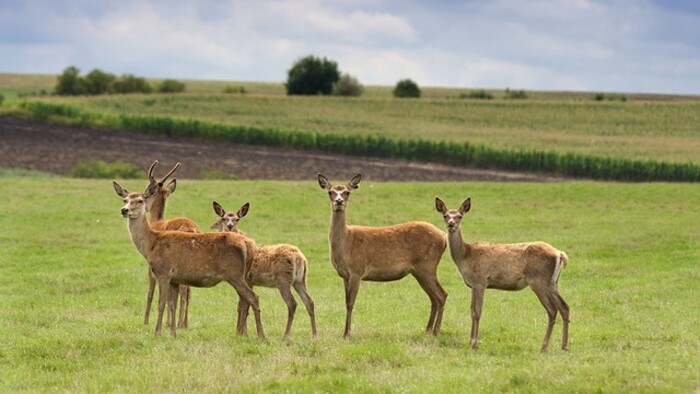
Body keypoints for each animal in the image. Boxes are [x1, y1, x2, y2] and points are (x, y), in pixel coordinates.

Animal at [112, 182, 266, 338]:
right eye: (125, 200)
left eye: (140, 200)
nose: (124, 210)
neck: (151, 244)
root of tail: (249, 243)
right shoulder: (174, 279)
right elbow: (172, 304)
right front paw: (173, 334)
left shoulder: (163, 272)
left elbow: (161, 303)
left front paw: (157, 333)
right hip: (243, 276)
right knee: (244, 301)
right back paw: (244, 333)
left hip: (235, 274)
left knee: (254, 297)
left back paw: (261, 336)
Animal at [209, 202, 316, 340]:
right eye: (223, 218)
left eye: (237, 219)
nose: (229, 226)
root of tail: (300, 258)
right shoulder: (250, 282)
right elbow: (245, 306)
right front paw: (244, 333)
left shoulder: (246, 279)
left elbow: (242, 306)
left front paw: (240, 333)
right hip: (300, 280)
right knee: (309, 301)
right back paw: (314, 335)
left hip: (283, 279)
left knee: (292, 303)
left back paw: (285, 336)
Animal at [318, 174, 448, 338]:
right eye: (330, 192)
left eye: (347, 192)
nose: (339, 201)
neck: (346, 245)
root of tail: (443, 236)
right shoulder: (344, 275)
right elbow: (346, 301)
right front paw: (345, 332)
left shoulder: (357, 270)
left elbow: (351, 303)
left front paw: (347, 334)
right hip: (419, 270)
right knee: (434, 297)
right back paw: (428, 330)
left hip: (427, 265)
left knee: (441, 295)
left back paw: (435, 331)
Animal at [434, 195, 572, 352]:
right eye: (445, 215)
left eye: (459, 216)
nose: (451, 224)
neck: (465, 256)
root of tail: (560, 254)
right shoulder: (474, 285)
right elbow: (472, 311)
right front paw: (470, 342)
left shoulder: (480, 281)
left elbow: (476, 312)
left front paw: (474, 343)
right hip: (553, 283)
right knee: (564, 307)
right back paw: (564, 346)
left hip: (538, 280)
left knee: (552, 310)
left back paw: (544, 346)